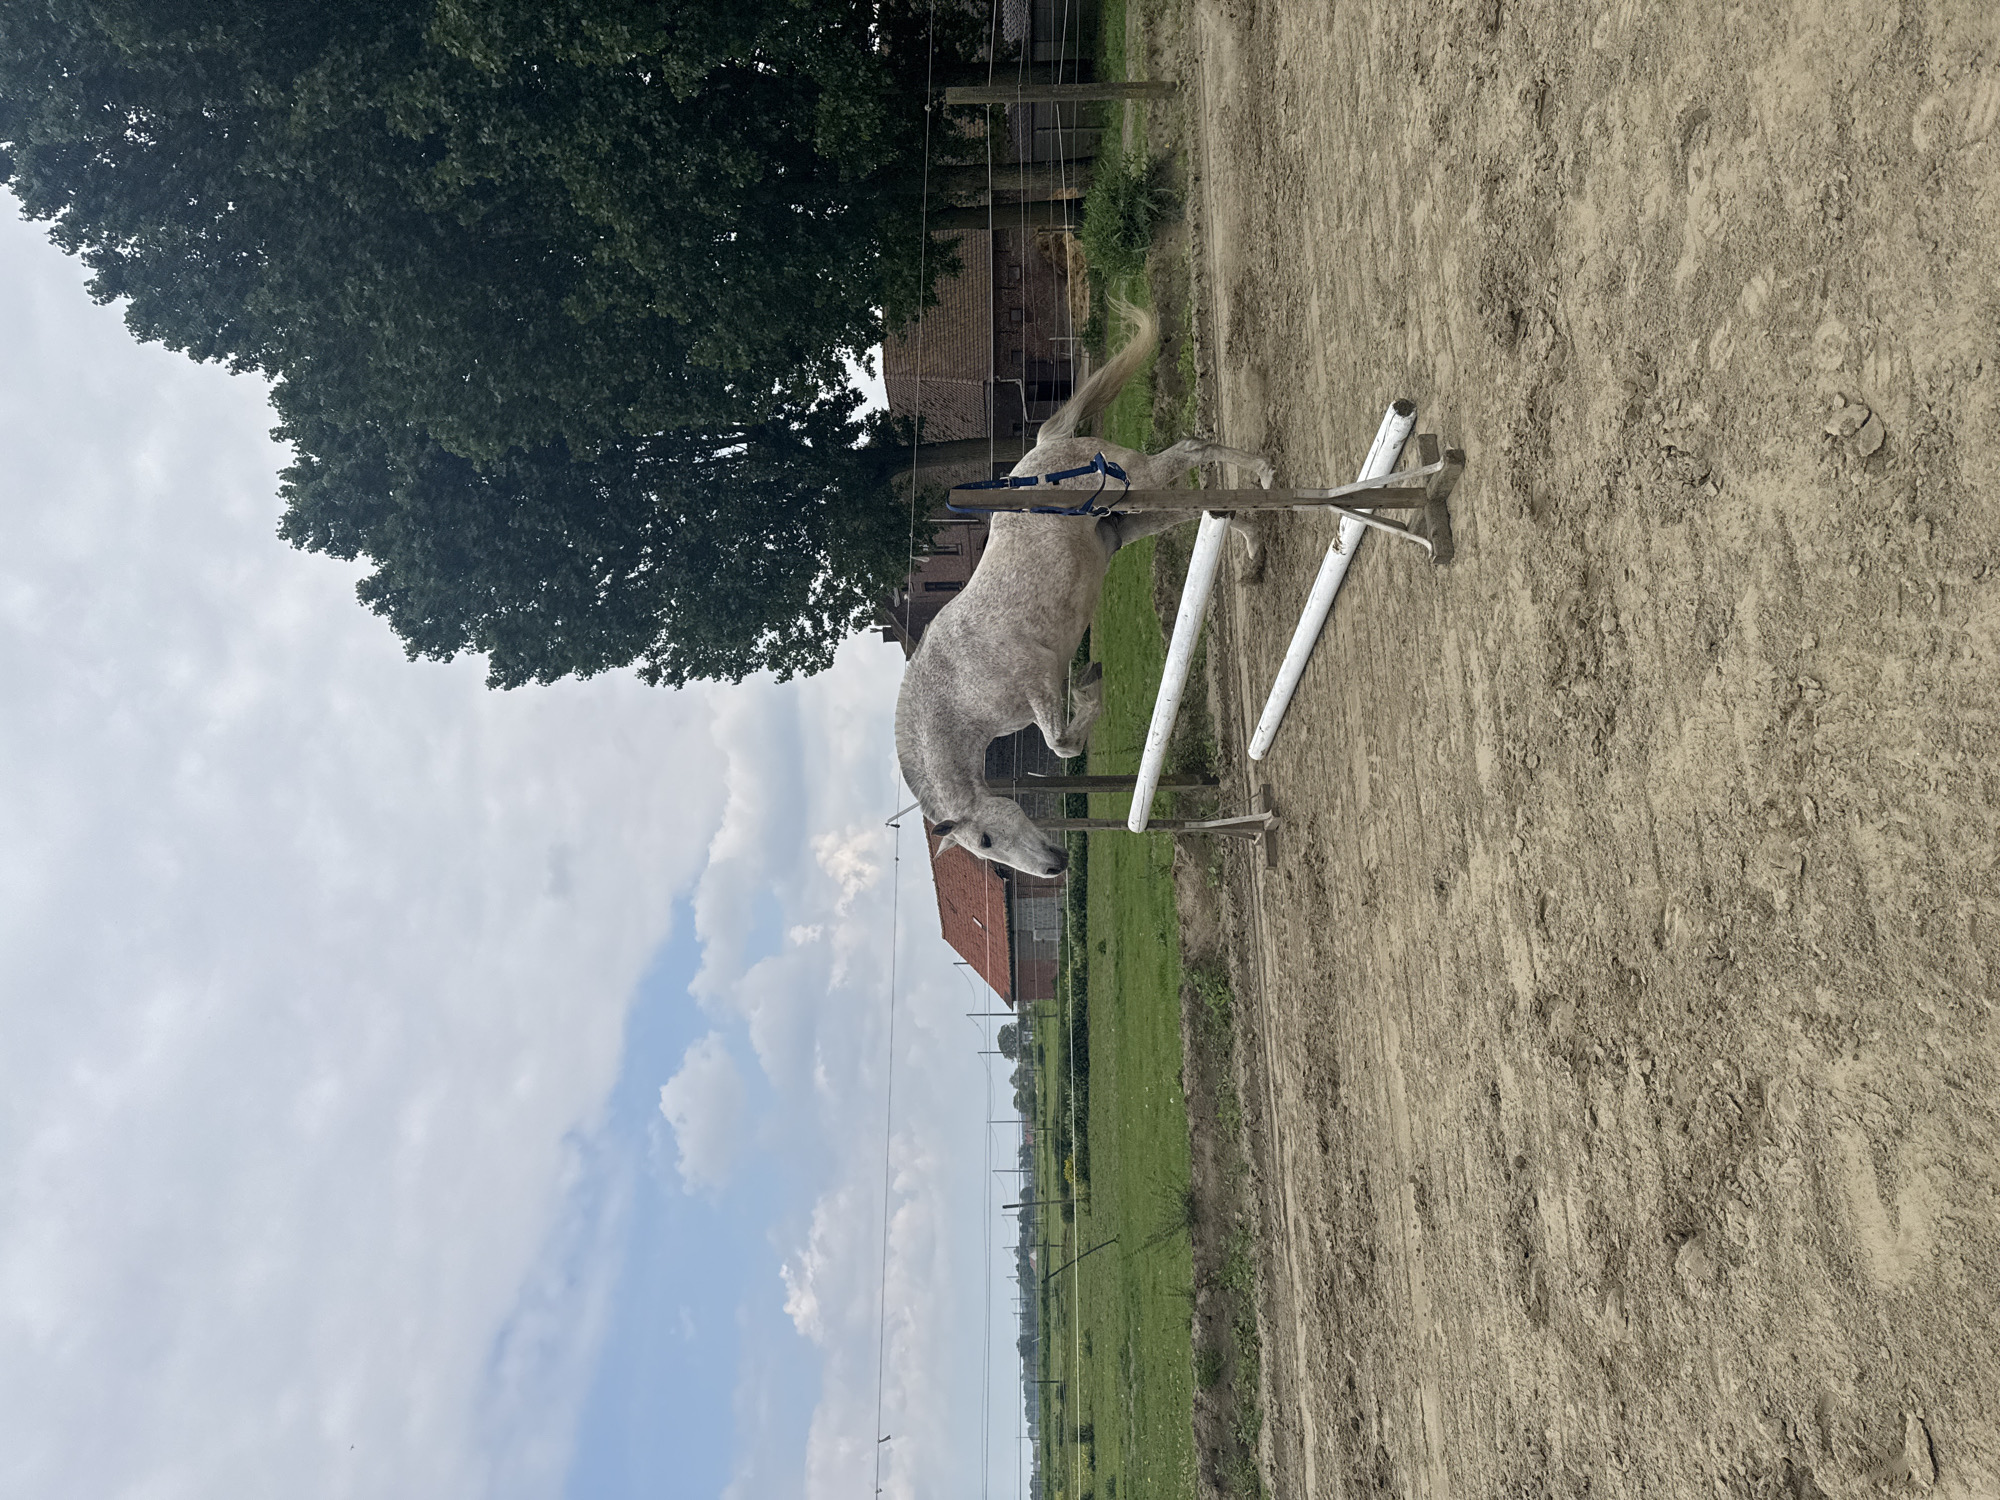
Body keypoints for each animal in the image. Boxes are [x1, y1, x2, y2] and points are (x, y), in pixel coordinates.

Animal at [894, 302, 1275, 878]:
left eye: (985, 839)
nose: (1054, 868)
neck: (956, 693)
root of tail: (1044, 446)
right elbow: (1063, 744)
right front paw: (1091, 683)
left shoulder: (1039, 683)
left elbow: (1063, 744)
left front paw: (1090, 687)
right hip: (1132, 519)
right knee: (1206, 507)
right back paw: (1254, 551)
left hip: (1138, 484)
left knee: (1192, 449)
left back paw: (1264, 471)